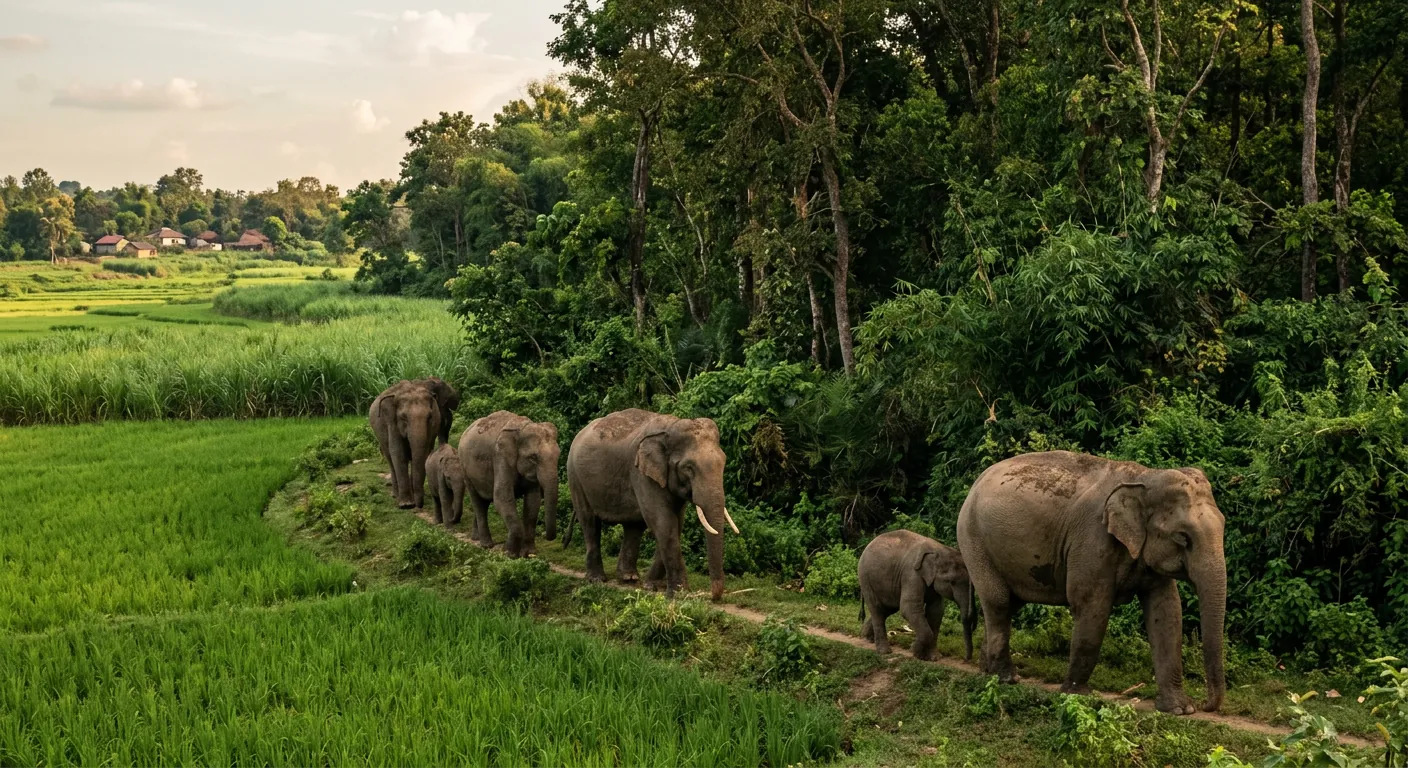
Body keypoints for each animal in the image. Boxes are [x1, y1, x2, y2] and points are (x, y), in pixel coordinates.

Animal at [370, 378, 455, 509]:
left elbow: (424, 452)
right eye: (404, 418)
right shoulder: (392, 423)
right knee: (389, 458)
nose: (419, 505)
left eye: (430, 417)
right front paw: (406, 505)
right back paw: (395, 495)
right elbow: (397, 453)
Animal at [457, 411, 560, 558]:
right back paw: (486, 544)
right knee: (478, 502)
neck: (522, 428)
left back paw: (475, 538)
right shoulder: (501, 457)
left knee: (484, 502)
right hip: (465, 470)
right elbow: (502, 497)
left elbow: (533, 502)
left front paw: (529, 553)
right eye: (533, 457)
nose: (548, 536)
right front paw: (509, 553)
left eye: (559, 455)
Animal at [566, 409, 738, 601]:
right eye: (688, 468)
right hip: (575, 477)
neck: (670, 427)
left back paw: (629, 578)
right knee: (589, 522)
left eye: (723, 462)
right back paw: (597, 580)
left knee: (633, 527)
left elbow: (675, 524)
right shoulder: (641, 474)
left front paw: (652, 586)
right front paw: (679, 594)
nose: (713, 596)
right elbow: (663, 522)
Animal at [858, 530, 977, 661]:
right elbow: (909, 608)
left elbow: (936, 611)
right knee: (877, 608)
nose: (965, 659)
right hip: (865, 578)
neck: (938, 549)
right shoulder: (912, 574)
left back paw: (867, 637)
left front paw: (934, 657)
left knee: (888, 608)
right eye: (952, 582)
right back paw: (884, 651)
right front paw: (915, 652)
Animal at [955, 451, 1227, 715]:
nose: (1206, 705)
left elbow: (1167, 611)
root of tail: (975, 484)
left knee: (1009, 604)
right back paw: (1007, 678)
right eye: (1182, 538)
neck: (1145, 477)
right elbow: (1092, 606)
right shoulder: (1092, 540)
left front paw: (1180, 709)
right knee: (999, 602)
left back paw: (987, 672)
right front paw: (1077, 695)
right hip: (973, 540)